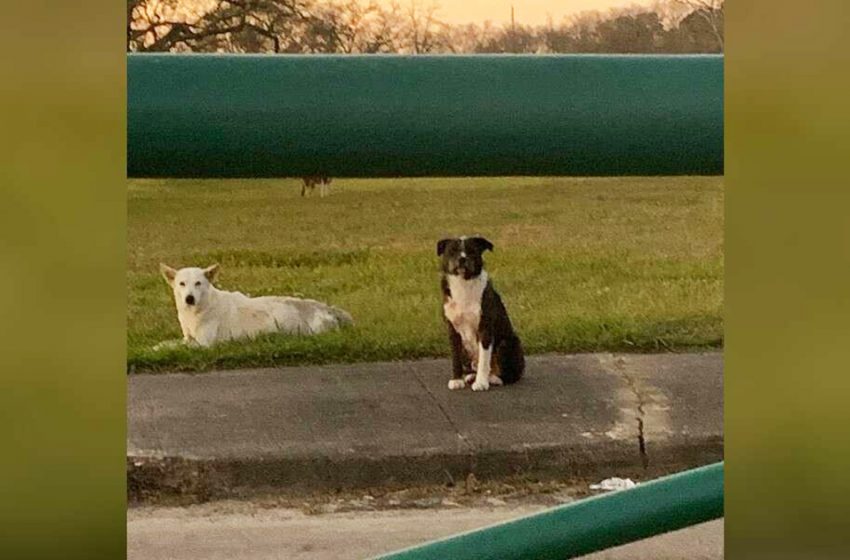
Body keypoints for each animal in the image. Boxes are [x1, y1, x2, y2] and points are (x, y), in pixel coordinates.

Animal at [155, 264, 352, 350]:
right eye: (181, 284)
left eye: (198, 283)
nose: (189, 298)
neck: (198, 310)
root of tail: (328, 308)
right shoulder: (188, 336)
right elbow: (170, 342)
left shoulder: (203, 343)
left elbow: (175, 346)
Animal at [438, 235, 524, 390]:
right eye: (452, 251)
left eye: (472, 251)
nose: (462, 258)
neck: (464, 283)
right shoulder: (452, 329)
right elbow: (455, 357)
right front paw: (456, 380)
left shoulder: (484, 328)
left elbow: (484, 360)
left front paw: (481, 383)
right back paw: (471, 376)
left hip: (507, 344)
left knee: (509, 374)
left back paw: (494, 379)